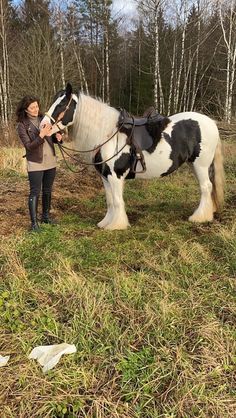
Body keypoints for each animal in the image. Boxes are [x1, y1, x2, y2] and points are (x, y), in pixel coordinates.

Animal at [41, 83, 224, 230]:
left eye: (62, 104)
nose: (43, 125)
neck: (108, 133)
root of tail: (211, 122)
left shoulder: (115, 176)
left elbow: (117, 200)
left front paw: (116, 225)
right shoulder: (105, 177)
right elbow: (110, 200)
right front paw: (105, 222)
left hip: (201, 165)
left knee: (206, 187)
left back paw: (199, 217)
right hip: (194, 165)